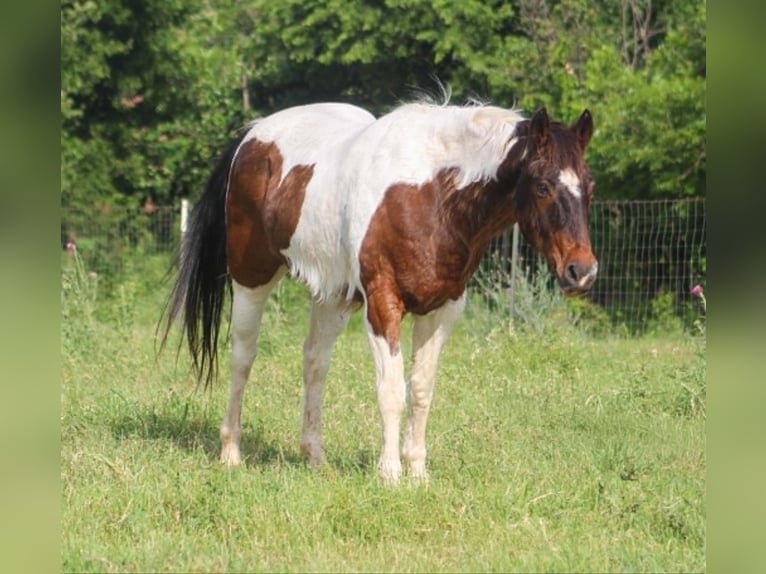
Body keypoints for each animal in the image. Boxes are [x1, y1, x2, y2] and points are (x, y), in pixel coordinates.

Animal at [161, 100, 598, 484]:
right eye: (542, 185)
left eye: (589, 185)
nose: (582, 270)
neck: (433, 196)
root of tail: (253, 135)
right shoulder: (384, 305)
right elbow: (391, 391)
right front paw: (389, 473)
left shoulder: (441, 311)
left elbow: (420, 390)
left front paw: (418, 472)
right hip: (251, 279)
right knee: (243, 358)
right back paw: (231, 452)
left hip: (332, 298)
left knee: (315, 363)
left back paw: (315, 459)